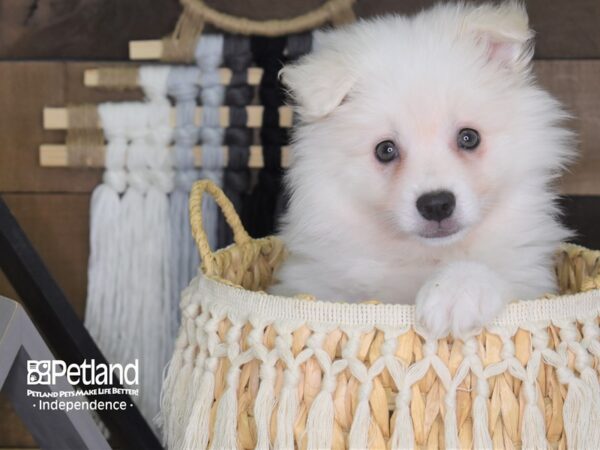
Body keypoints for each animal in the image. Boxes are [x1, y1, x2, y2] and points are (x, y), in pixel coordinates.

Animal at [270, 0, 576, 338]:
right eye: (385, 150)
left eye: (469, 137)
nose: (437, 204)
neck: (426, 256)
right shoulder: (314, 281)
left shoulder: (529, 276)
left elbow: (495, 272)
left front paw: (456, 292)